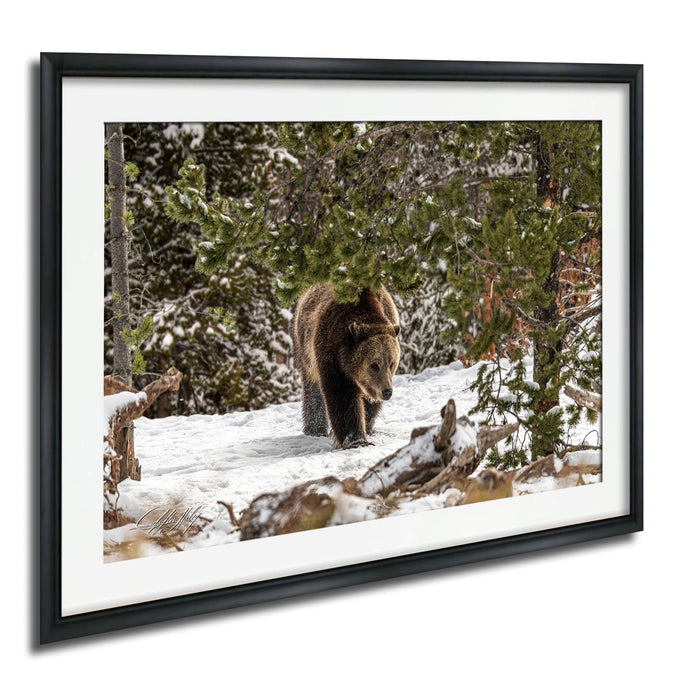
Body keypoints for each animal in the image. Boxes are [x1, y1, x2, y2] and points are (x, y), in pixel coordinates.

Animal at [292, 284, 401, 449]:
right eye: (374, 365)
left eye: (391, 363)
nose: (387, 391)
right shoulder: (332, 351)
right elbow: (342, 396)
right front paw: (355, 439)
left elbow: (367, 404)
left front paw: (365, 427)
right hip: (305, 349)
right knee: (313, 390)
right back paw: (315, 429)